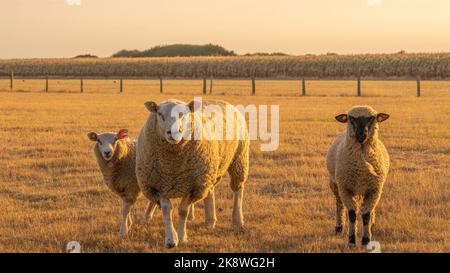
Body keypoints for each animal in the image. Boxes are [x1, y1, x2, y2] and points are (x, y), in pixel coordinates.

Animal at [137, 99, 250, 248]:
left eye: (183, 114)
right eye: (160, 114)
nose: (174, 132)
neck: (172, 165)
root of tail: (223, 101)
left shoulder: (194, 187)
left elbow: (182, 210)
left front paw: (182, 237)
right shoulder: (156, 185)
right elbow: (167, 209)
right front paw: (171, 239)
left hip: (238, 158)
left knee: (238, 190)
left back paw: (237, 219)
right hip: (208, 171)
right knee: (210, 191)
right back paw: (210, 220)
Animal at [326, 104, 390, 246]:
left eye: (371, 118)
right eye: (351, 118)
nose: (361, 134)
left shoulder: (374, 189)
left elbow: (366, 215)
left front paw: (366, 240)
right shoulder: (345, 189)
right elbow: (352, 214)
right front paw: (351, 239)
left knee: (372, 209)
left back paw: (372, 226)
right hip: (335, 185)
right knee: (339, 204)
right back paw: (339, 227)